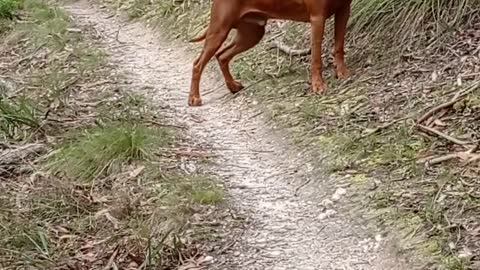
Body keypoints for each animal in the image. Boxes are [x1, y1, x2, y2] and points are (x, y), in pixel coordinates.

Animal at [188, 0, 352, 107]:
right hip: (220, 29)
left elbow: (339, 46)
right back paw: (194, 98)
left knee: (222, 55)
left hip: (252, 33)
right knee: (198, 63)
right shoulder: (317, 17)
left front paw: (342, 72)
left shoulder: (344, 10)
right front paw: (318, 85)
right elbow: (316, 58)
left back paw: (233, 86)